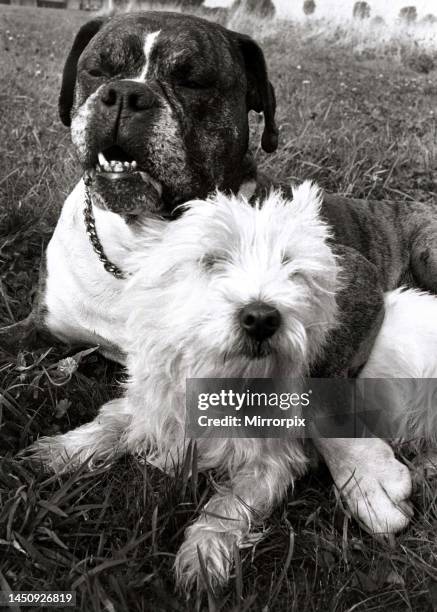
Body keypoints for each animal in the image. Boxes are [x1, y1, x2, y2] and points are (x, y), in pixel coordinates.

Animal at [5, 13, 436, 548]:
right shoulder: (37, 327)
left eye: (194, 81)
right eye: (97, 70)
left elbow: (319, 387)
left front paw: (365, 474)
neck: (146, 241)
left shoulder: (352, 279)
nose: (125, 93)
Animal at [23, 184, 436, 592]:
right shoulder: (154, 400)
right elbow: (115, 420)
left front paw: (203, 556)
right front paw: (64, 450)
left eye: (292, 269)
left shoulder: (271, 462)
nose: (261, 318)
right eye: (211, 260)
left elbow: (229, 507)